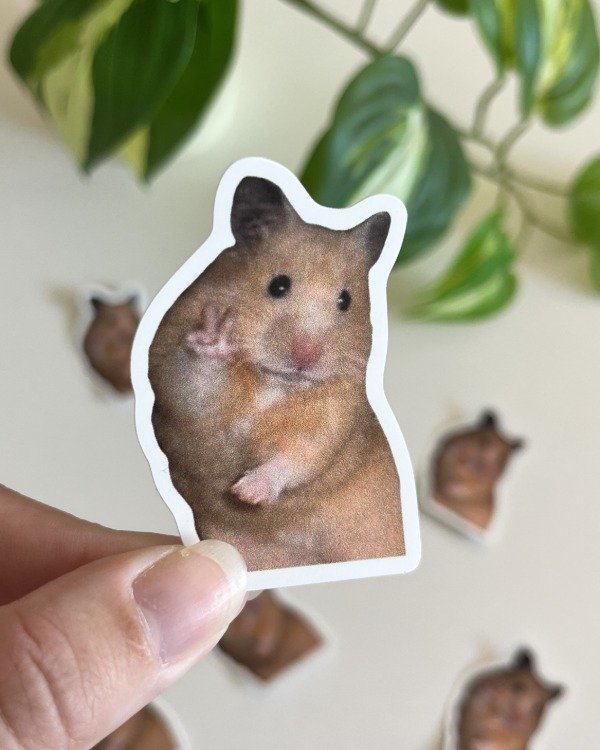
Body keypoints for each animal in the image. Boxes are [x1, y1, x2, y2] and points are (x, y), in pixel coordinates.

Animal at [148, 176, 404, 570]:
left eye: (346, 301)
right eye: (278, 285)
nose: (306, 358)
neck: (274, 383)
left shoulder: (333, 419)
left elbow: (299, 456)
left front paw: (247, 493)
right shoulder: (173, 376)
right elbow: (196, 384)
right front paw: (216, 335)